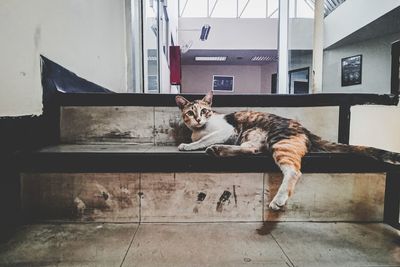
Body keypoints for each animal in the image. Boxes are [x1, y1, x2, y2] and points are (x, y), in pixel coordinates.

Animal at [175, 91, 400, 211]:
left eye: (204, 111)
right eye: (190, 113)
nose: (198, 119)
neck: (199, 130)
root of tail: (304, 129)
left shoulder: (225, 130)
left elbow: (203, 140)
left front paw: (188, 145)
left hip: (279, 141)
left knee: (293, 171)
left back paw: (279, 199)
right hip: (252, 137)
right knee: (251, 150)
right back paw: (217, 150)